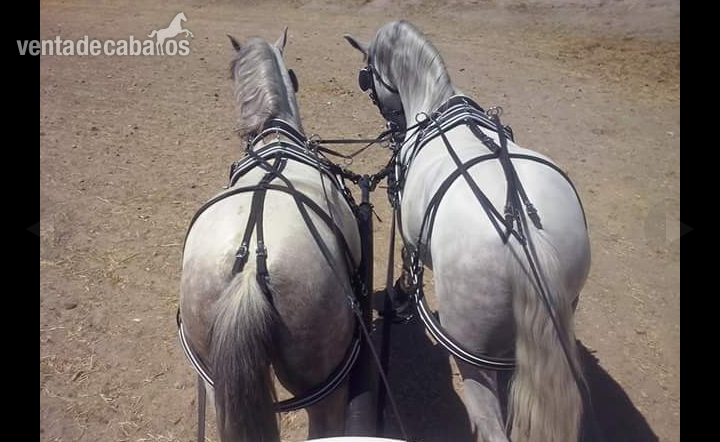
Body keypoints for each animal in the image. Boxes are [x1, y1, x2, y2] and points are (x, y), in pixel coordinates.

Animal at [345, 21, 592, 442]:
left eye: (367, 76)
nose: (391, 126)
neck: (435, 103)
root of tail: (525, 234)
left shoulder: (408, 233)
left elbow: (408, 266)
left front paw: (401, 296)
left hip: (470, 351)